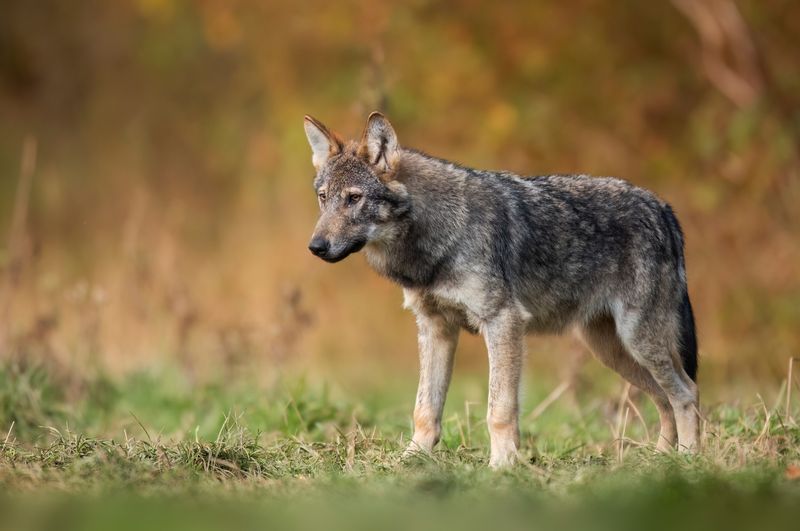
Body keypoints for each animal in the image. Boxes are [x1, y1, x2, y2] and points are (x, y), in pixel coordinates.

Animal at [304, 113, 696, 470]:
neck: (437, 238)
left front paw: (502, 466)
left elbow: (500, 409)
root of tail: (663, 208)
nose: (316, 246)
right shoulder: (435, 328)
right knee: (666, 399)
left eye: (353, 198)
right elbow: (424, 409)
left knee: (686, 394)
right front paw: (409, 460)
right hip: (612, 351)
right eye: (323, 198)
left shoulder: (503, 323)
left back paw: (687, 460)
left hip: (637, 342)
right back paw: (661, 460)